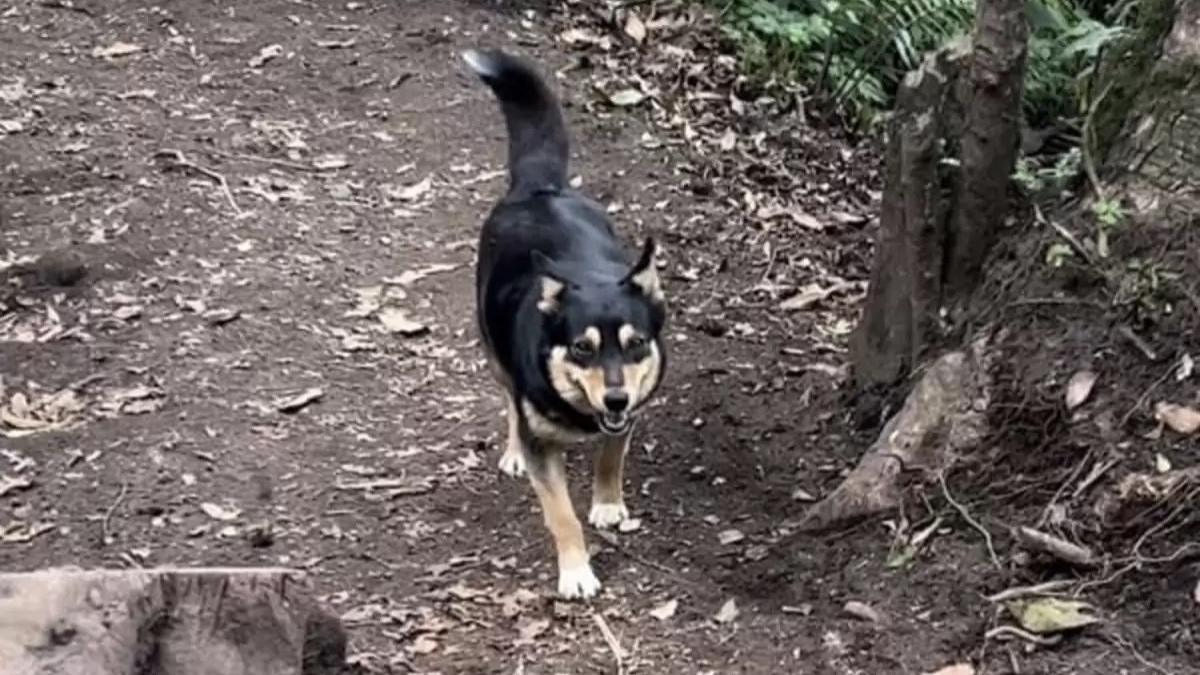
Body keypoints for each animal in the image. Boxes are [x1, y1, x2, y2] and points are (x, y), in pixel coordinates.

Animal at [460, 45, 667, 593]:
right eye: (581, 347)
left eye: (637, 343)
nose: (615, 397)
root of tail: (541, 187)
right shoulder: (545, 446)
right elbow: (561, 514)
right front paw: (576, 572)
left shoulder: (626, 414)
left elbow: (612, 454)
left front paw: (609, 503)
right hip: (493, 350)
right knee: (509, 401)